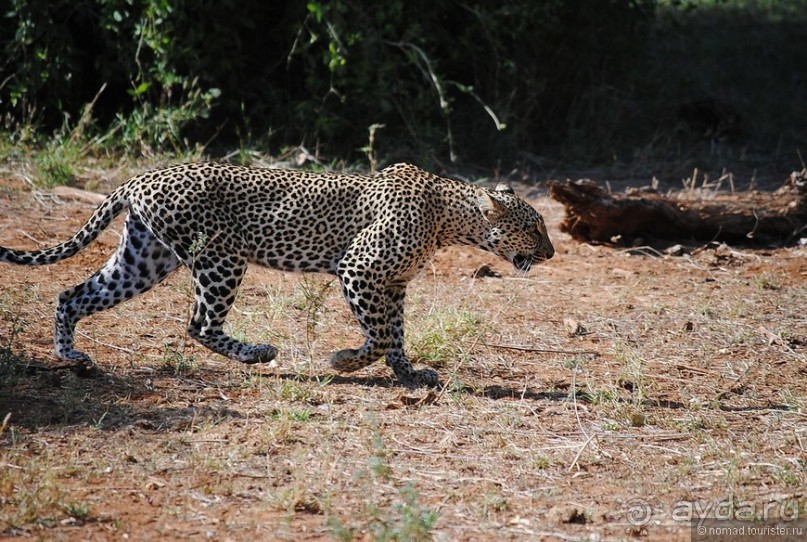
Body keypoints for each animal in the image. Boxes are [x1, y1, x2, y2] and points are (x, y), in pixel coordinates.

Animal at [0, 162, 556, 386]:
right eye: (534, 226)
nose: (551, 253)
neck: (449, 218)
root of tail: (139, 177)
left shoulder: (392, 284)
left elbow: (395, 336)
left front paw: (410, 374)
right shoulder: (360, 269)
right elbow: (378, 337)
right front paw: (344, 361)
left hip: (144, 258)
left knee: (72, 295)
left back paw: (72, 358)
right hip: (221, 259)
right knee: (199, 324)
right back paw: (258, 353)